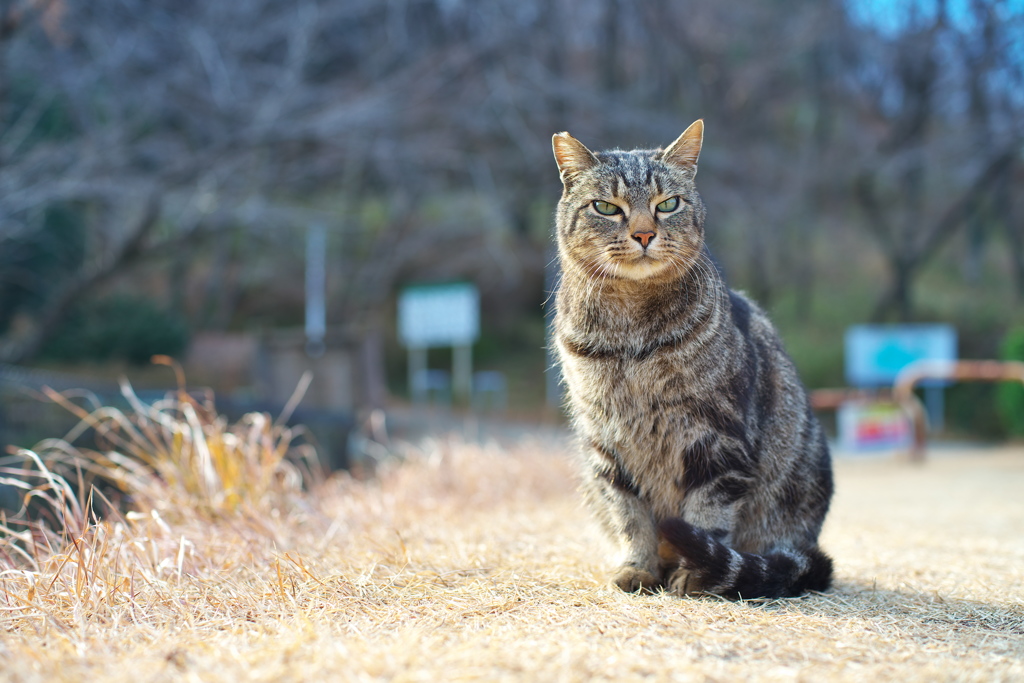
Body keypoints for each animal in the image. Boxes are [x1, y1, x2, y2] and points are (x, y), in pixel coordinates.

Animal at [552, 121, 831, 598]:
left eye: (668, 204)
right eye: (606, 207)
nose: (644, 234)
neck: (631, 337)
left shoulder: (719, 441)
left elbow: (706, 517)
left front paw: (694, 574)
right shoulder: (605, 441)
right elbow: (630, 517)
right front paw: (638, 567)